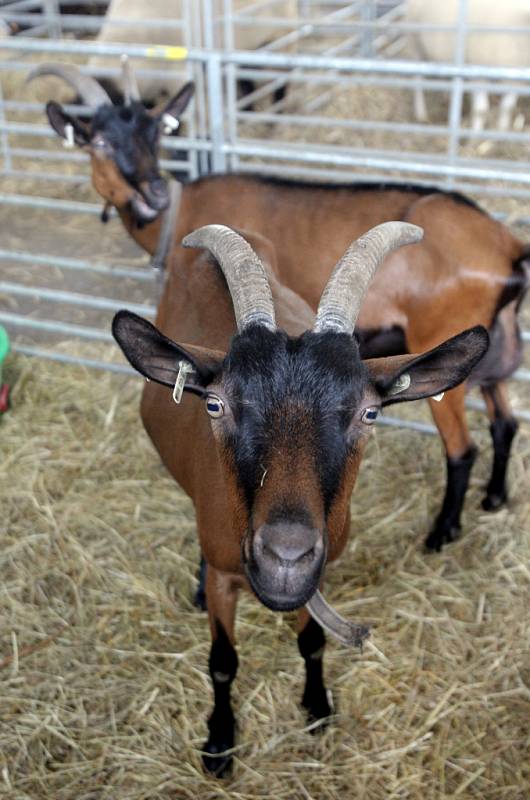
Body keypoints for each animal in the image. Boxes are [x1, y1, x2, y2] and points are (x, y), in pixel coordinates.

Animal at [112, 220, 486, 776]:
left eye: (369, 413)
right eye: (215, 405)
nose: (285, 557)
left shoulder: (321, 571)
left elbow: (312, 641)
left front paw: (317, 706)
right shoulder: (226, 574)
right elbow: (222, 663)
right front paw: (219, 742)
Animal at [404, 0, 528, 131]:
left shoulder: (515, 81)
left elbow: (507, 107)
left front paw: (501, 130)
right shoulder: (478, 72)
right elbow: (481, 109)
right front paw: (475, 133)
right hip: (415, 46)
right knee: (418, 82)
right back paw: (421, 113)